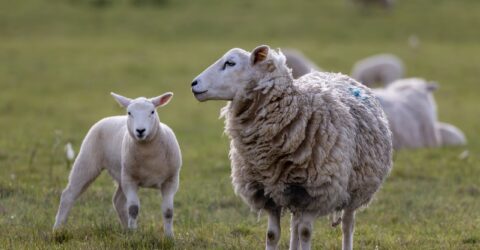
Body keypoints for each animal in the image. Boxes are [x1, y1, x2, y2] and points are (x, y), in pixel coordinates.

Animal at [51, 92, 181, 238]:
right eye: (129, 113)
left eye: (152, 112)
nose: (140, 130)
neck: (149, 157)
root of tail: (110, 118)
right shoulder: (130, 180)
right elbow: (133, 209)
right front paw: (134, 237)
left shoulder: (171, 180)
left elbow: (168, 211)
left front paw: (169, 237)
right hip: (87, 161)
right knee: (68, 195)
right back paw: (57, 229)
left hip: (119, 174)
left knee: (117, 201)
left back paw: (127, 229)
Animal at [191, 45, 394, 250]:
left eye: (230, 63)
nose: (193, 83)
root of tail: (337, 74)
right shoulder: (268, 193)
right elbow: (272, 235)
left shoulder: (315, 193)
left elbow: (305, 232)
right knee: (294, 224)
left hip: (356, 187)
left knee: (347, 224)